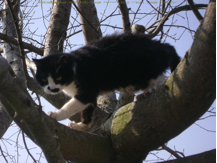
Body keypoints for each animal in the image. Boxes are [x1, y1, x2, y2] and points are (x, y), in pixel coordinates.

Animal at [33, 32, 180, 131]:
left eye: (58, 77)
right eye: (44, 79)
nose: (51, 88)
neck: (75, 68)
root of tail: (160, 46)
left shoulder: (87, 88)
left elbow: (71, 106)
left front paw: (56, 115)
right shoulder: (90, 94)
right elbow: (88, 110)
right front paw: (81, 126)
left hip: (141, 70)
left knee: (161, 80)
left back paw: (147, 92)